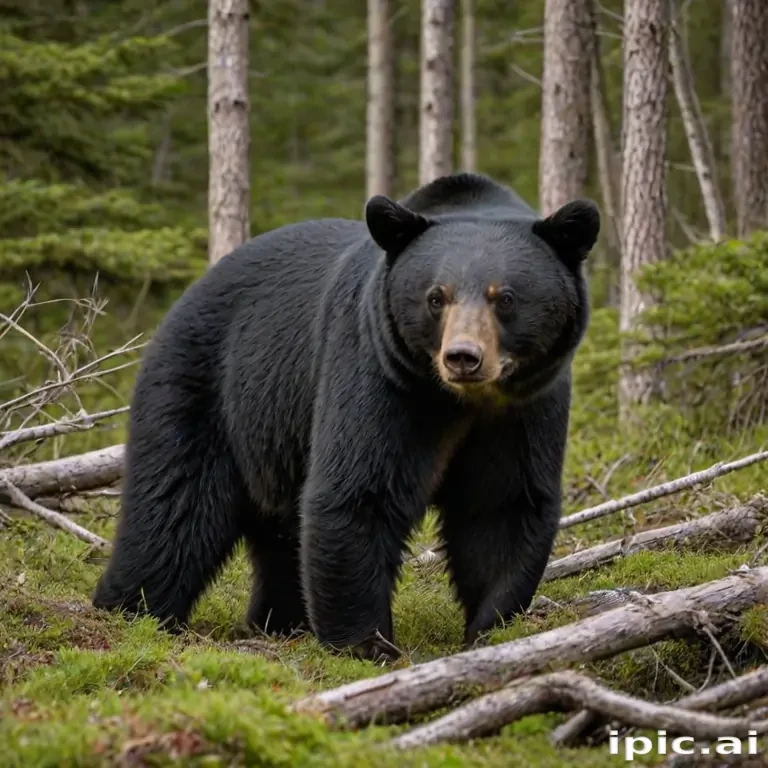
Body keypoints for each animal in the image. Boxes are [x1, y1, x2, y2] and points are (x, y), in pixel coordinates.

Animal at [93, 172, 599, 661]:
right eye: (436, 296)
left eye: (505, 297)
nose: (463, 357)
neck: (458, 402)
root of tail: (188, 294)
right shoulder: (377, 371)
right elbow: (357, 490)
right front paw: (366, 642)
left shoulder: (523, 411)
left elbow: (501, 506)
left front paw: (492, 628)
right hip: (204, 385)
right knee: (174, 505)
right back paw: (129, 609)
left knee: (279, 531)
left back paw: (279, 620)